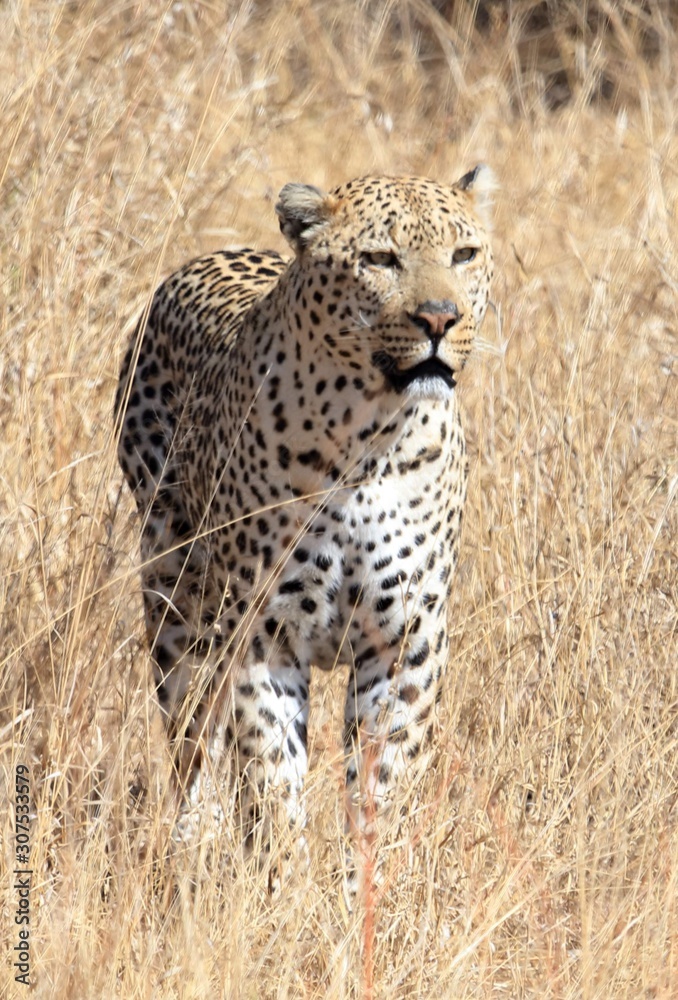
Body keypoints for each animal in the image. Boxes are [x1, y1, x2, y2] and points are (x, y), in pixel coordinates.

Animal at [116, 166, 494, 879]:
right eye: (381, 259)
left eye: (464, 254)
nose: (440, 318)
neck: (373, 436)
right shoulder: (264, 638)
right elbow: (271, 783)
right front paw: (282, 892)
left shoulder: (404, 643)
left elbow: (381, 789)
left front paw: (367, 893)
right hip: (175, 589)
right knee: (192, 734)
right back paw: (193, 845)